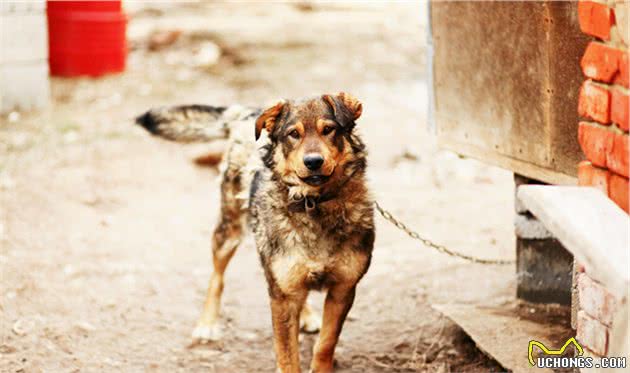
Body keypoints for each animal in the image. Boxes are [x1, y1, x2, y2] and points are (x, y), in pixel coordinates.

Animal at [137, 92, 376, 370]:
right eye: (293, 134)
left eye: (328, 130)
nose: (313, 162)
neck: (314, 204)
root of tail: (248, 113)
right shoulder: (282, 297)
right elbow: (287, 357)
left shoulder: (343, 290)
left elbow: (325, 345)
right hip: (228, 232)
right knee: (217, 277)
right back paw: (207, 325)